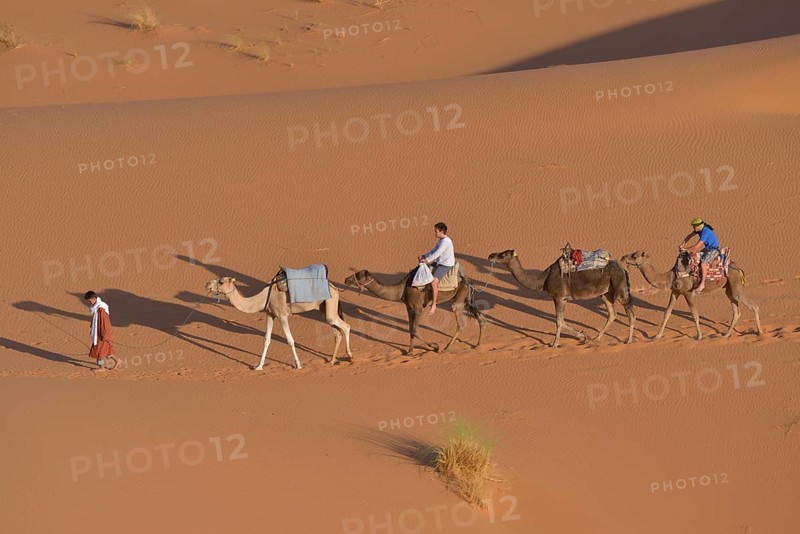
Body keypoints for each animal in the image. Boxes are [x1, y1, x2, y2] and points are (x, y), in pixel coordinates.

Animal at [205, 277, 352, 370]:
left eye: (221, 281)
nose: (207, 284)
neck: (265, 297)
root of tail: (335, 288)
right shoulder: (270, 314)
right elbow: (266, 340)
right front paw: (258, 366)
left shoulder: (282, 315)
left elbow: (290, 340)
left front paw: (298, 365)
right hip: (325, 308)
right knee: (337, 332)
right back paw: (332, 361)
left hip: (330, 306)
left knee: (346, 326)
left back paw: (350, 356)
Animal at [343, 268, 485, 356]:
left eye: (358, 275)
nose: (346, 279)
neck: (401, 289)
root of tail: (467, 281)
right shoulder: (408, 307)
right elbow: (410, 329)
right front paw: (410, 352)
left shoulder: (418, 307)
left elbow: (415, 330)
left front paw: (435, 346)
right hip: (466, 297)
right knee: (480, 318)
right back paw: (477, 345)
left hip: (460, 296)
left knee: (461, 322)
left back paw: (446, 348)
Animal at [486, 250, 635, 348]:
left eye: (503, 254)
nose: (490, 255)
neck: (543, 279)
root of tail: (623, 268)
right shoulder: (563, 299)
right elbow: (562, 321)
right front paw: (584, 336)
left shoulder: (558, 297)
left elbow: (559, 321)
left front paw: (554, 344)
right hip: (605, 293)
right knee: (612, 313)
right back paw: (596, 338)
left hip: (620, 288)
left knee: (630, 313)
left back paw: (628, 340)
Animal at [620, 250, 762, 340]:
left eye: (634, 256)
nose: (623, 257)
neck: (670, 276)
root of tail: (738, 268)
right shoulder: (675, 292)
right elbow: (667, 313)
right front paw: (657, 336)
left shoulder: (688, 293)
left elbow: (694, 314)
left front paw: (699, 336)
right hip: (729, 288)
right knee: (736, 311)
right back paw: (726, 334)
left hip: (735, 284)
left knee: (753, 306)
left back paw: (759, 332)